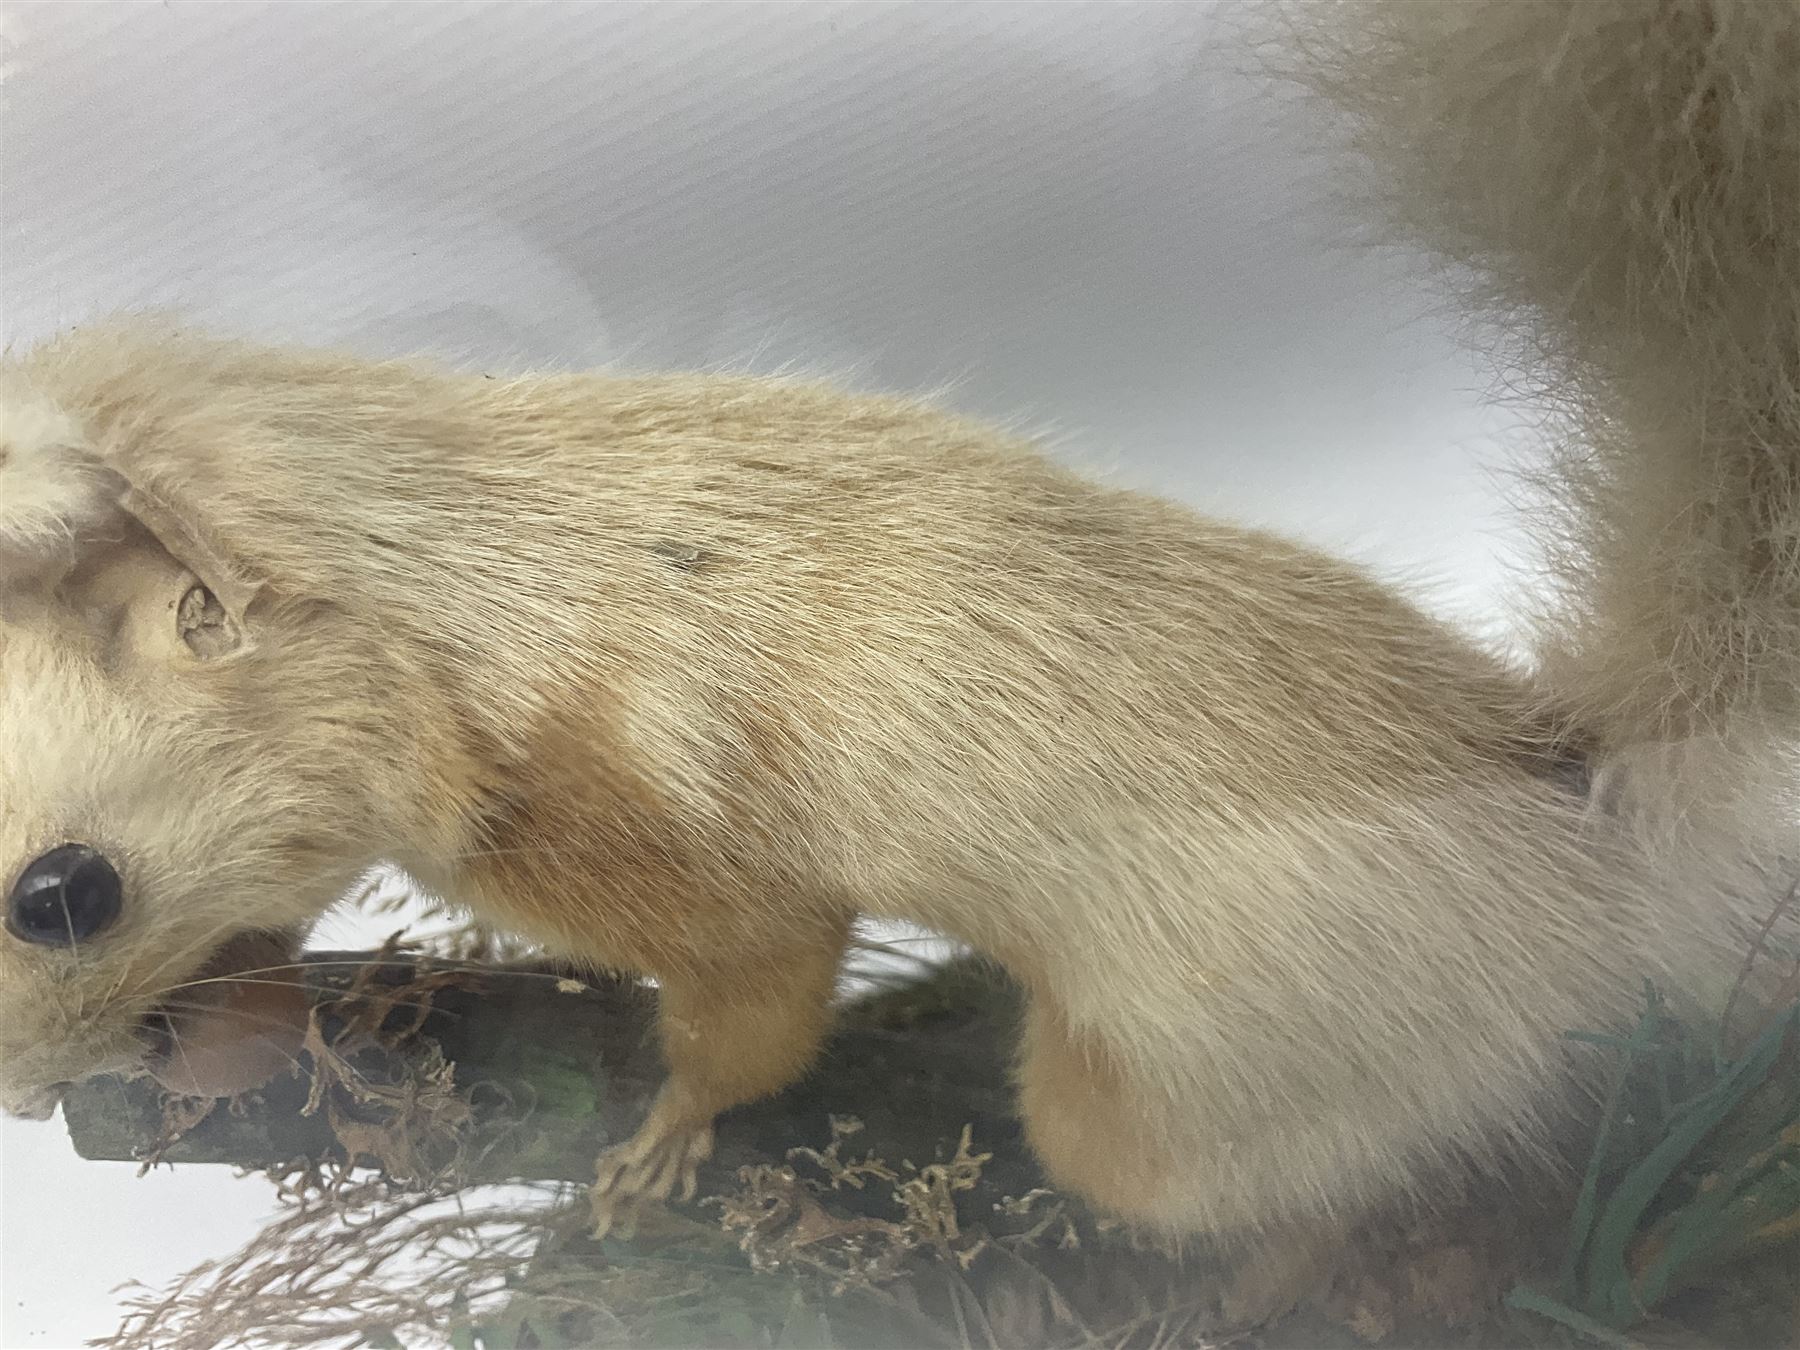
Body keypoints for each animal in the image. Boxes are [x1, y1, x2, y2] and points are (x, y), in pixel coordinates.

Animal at [0, 0, 1794, 1314]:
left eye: (64, 894)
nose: (19, 1102)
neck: (449, 598)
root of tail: (1593, 827)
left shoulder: (656, 837)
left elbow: (757, 1002)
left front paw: (655, 1151)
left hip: (1175, 1098)